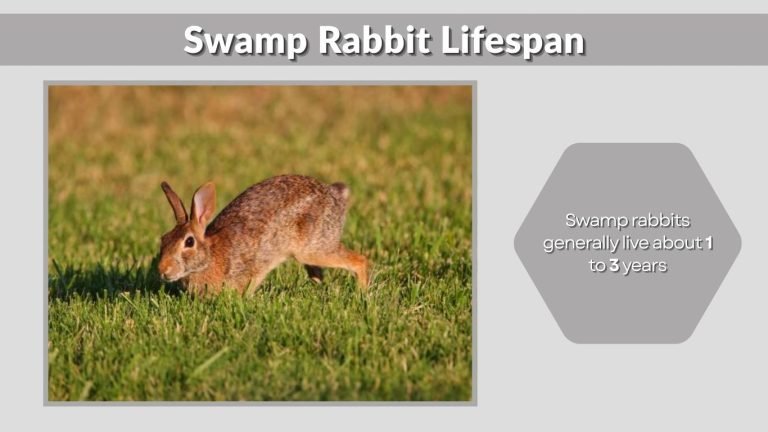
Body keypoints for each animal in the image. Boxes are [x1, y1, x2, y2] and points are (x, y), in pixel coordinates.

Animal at [157, 175, 369, 295]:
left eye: (189, 242)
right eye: (163, 239)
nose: (162, 270)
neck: (209, 258)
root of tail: (336, 195)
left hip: (315, 248)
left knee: (360, 261)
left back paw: (361, 294)